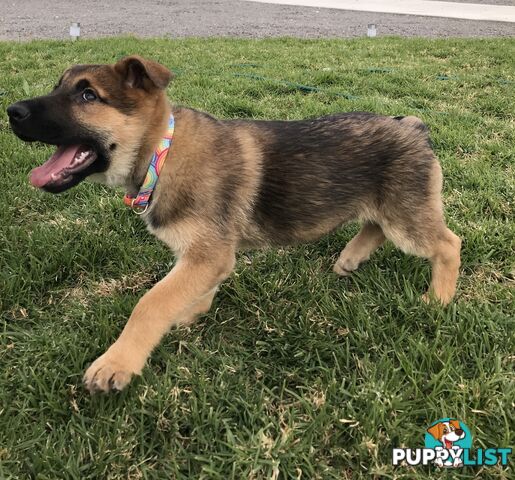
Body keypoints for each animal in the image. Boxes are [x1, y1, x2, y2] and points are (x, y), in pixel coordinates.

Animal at [7, 57, 460, 394]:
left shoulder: (207, 254)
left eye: (88, 95)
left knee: (447, 244)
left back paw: (438, 299)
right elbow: (192, 289)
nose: (12, 112)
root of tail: (412, 126)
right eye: (59, 86)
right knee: (377, 227)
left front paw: (118, 361)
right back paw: (350, 259)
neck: (161, 154)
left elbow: (150, 303)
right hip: (391, 209)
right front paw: (191, 310)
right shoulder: (207, 257)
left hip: (406, 216)